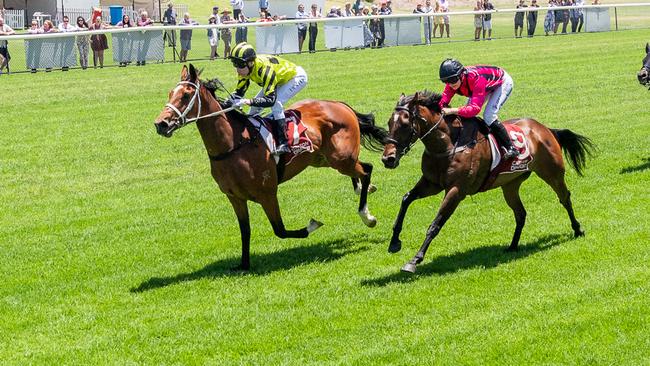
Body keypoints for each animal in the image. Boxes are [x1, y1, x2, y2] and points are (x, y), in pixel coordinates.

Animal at [152, 64, 384, 270]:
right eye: (171, 93)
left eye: (185, 96)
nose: (160, 124)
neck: (233, 145)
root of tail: (339, 104)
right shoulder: (234, 197)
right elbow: (245, 230)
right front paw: (244, 264)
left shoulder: (267, 193)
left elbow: (280, 230)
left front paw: (312, 225)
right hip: (324, 159)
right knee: (361, 170)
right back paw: (362, 191)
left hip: (340, 159)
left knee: (367, 169)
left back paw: (367, 216)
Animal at [380, 91, 592, 274]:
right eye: (389, 122)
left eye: (405, 124)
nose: (388, 159)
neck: (449, 144)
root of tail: (544, 128)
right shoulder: (431, 183)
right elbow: (406, 199)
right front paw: (394, 242)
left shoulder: (456, 190)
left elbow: (435, 224)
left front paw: (414, 260)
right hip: (510, 184)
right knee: (520, 213)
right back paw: (513, 246)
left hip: (552, 173)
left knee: (565, 198)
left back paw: (577, 229)